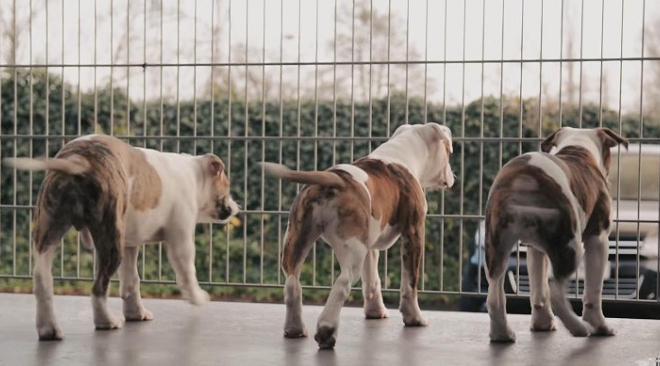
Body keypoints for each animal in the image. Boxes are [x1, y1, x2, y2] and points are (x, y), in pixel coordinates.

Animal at [2, 134, 240, 340]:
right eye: (227, 185)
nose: (236, 206)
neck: (194, 175)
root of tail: (78, 159)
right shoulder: (180, 238)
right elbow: (187, 271)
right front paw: (197, 297)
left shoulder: (129, 244)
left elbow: (131, 280)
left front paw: (135, 312)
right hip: (110, 239)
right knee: (98, 288)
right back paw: (105, 321)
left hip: (51, 227)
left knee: (42, 281)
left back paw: (48, 329)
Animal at [262, 122, 454, 348]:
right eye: (448, 151)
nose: (452, 176)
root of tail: (334, 179)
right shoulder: (413, 233)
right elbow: (410, 282)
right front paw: (415, 318)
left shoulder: (369, 247)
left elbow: (372, 280)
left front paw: (375, 311)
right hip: (352, 250)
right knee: (342, 283)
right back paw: (326, 331)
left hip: (297, 238)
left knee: (292, 284)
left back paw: (295, 329)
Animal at [484, 126, 628, 344]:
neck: (578, 148)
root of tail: (524, 180)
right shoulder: (598, 239)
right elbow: (593, 293)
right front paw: (600, 326)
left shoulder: (535, 249)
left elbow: (538, 290)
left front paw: (542, 323)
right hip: (570, 244)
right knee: (556, 290)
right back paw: (578, 327)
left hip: (497, 247)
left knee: (495, 293)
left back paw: (502, 333)